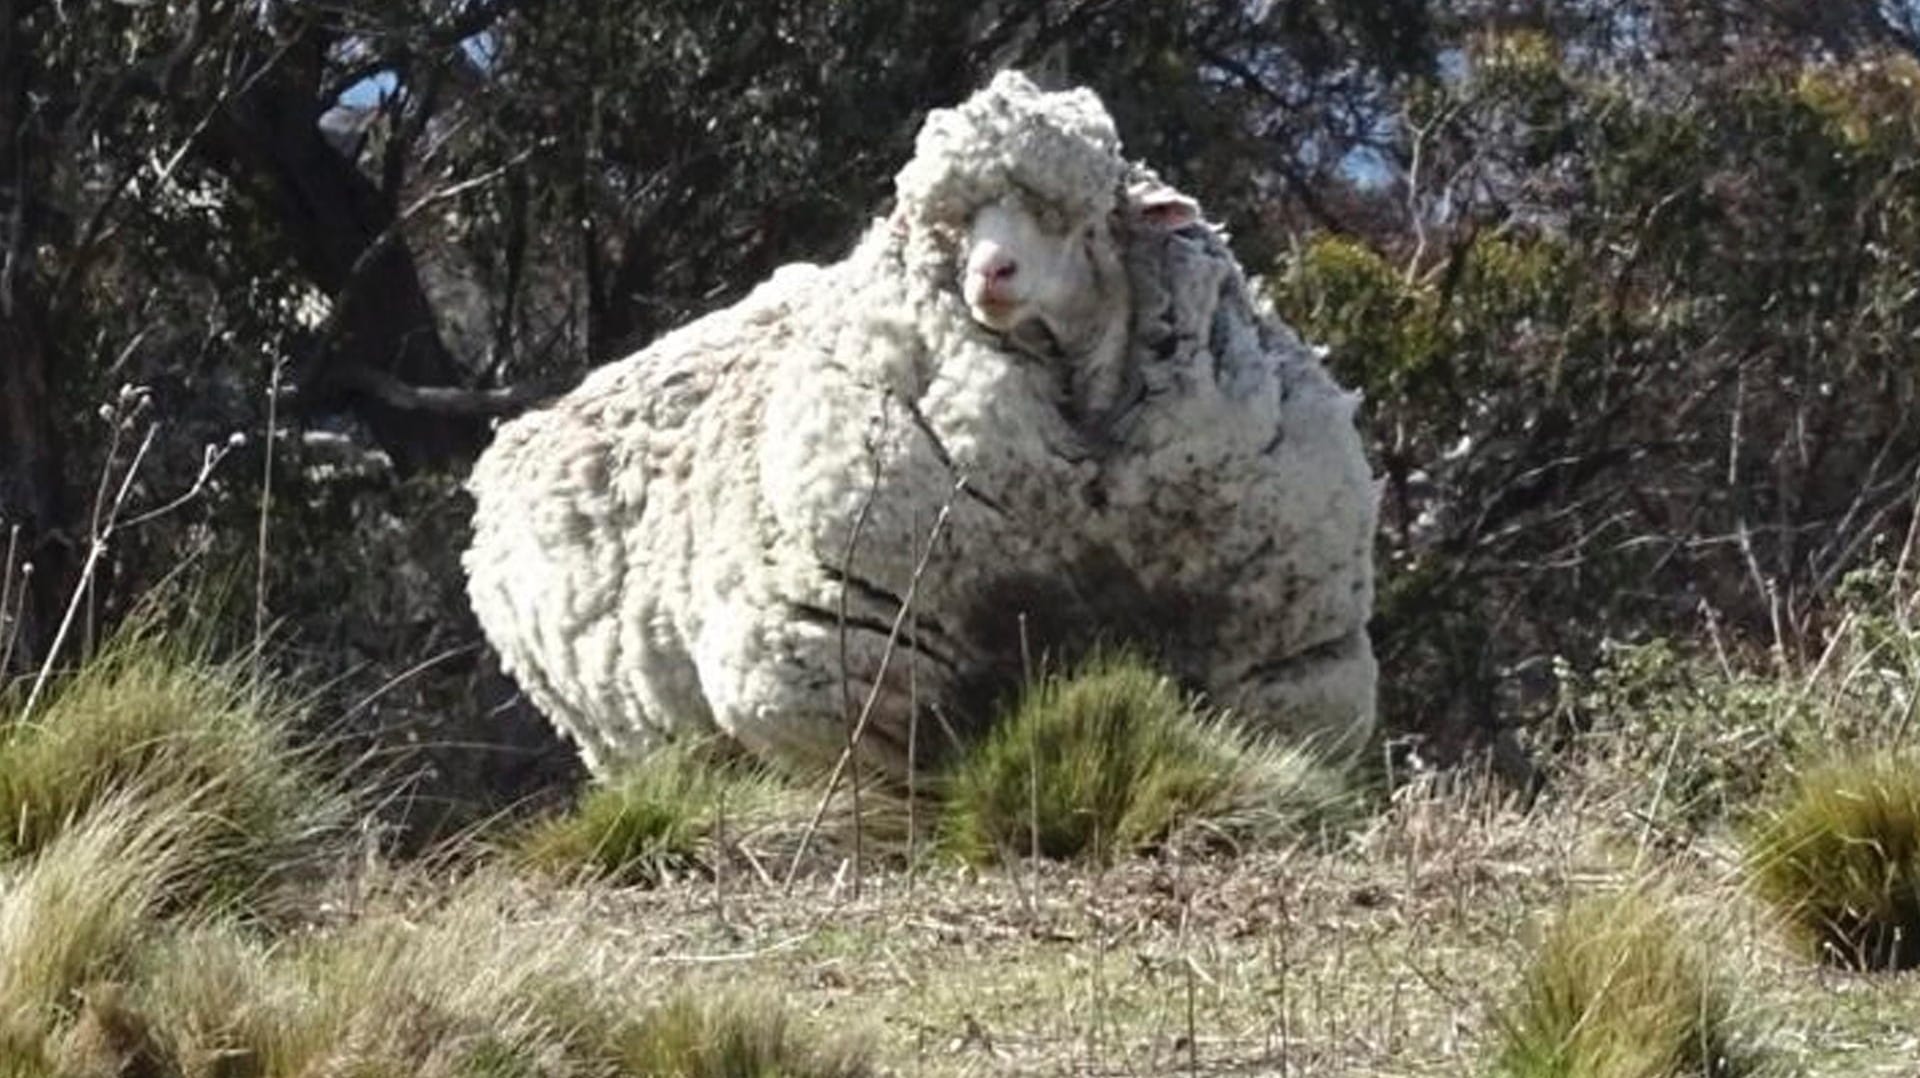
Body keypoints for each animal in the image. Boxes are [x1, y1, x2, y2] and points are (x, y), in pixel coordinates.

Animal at [464, 69, 1382, 772]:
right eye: (953, 224)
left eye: (1071, 215)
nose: (991, 274)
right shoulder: (850, 669)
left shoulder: (1280, 660)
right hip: (627, 737)